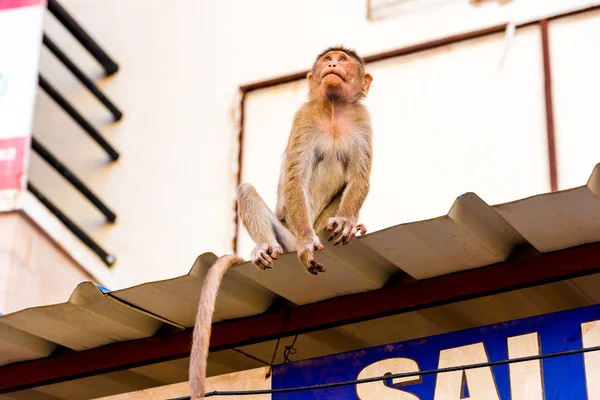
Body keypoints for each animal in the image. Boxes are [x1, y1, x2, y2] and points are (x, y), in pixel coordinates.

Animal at [190, 46, 372, 396]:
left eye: (342, 59)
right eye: (328, 58)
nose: (332, 63)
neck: (333, 111)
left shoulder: (362, 119)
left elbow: (359, 176)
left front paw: (347, 223)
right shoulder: (304, 116)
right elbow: (295, 176)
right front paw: (308, 248)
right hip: (288, 235)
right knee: (251, 192)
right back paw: (266, 247)